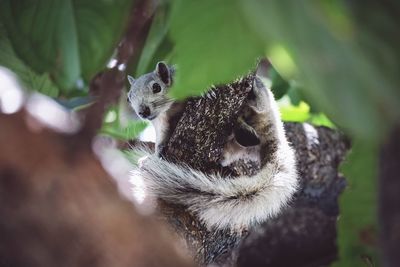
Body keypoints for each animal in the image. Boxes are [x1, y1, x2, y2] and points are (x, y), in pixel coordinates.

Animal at [126, 60, 298, 232]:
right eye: (129, 97)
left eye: (156, 87)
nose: (143, 112)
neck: (173, 105)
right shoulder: (161, 121)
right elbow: (162, 136)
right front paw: (156, 153)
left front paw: (205, 91)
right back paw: (245, 135)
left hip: (265, 104)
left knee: (260, 105)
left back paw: (254, 94)